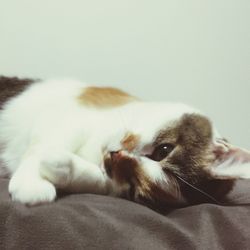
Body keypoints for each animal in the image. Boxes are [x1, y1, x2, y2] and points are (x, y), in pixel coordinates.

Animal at [0, 77, 250, 210]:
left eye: (134, 188)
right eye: (163, 150)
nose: (114, 155)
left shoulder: (106, 181)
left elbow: (95, 180)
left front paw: (60, 165)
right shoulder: (66, 118)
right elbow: (43, 144)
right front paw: (31, 184)